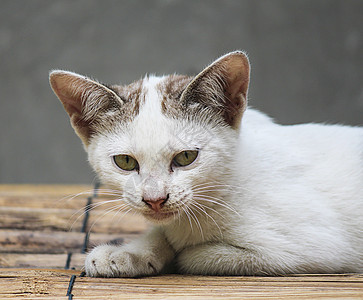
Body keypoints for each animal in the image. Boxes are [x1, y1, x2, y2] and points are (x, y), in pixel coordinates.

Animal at [49, 51, 363, 276]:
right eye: (125, 161)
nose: (154, 199)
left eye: (186, 157)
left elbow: (198, 255)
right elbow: (162, 232)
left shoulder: (314, 248)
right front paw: (129, 253)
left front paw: (178, 252)